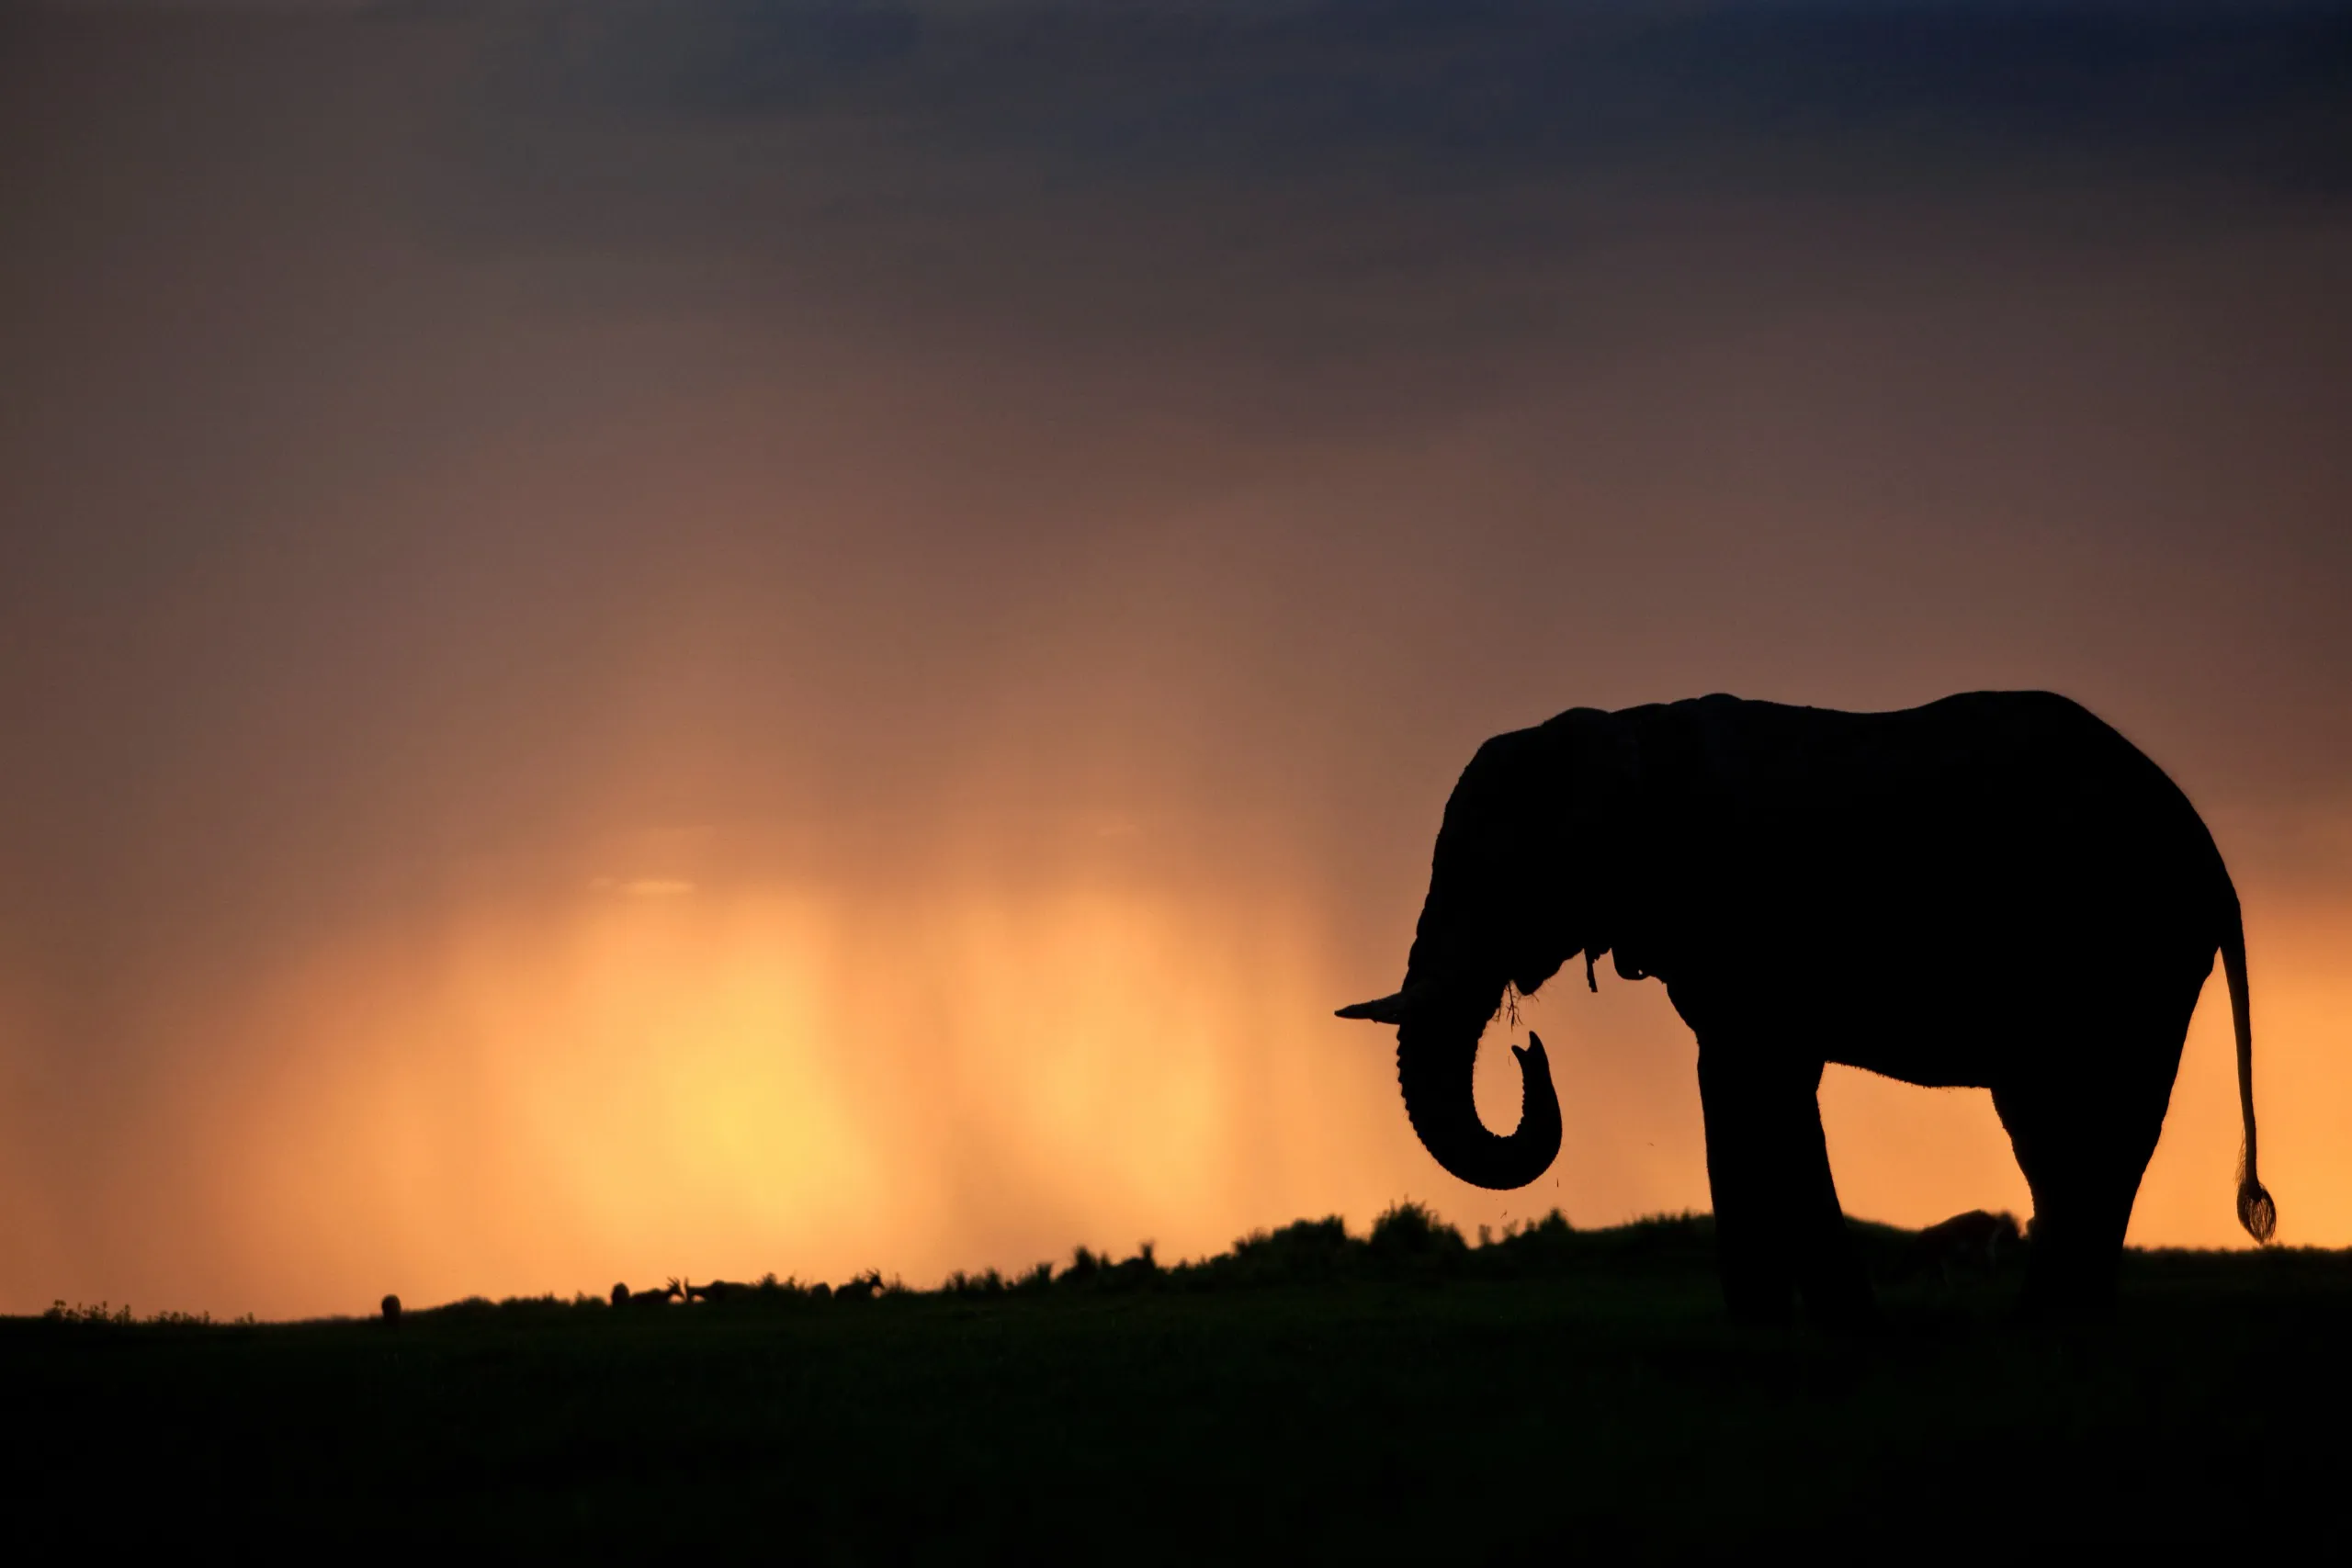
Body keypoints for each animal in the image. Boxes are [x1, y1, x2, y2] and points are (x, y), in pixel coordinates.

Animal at [1345, 691, 2277, 1316]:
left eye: (1491, 875)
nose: (1528, 1049)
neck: (1632, 726)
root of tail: (2214, 859)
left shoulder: (1752, 921)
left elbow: (1767, 1086)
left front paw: (1839, 1328)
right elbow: (1735, 1091)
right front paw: (1771, 1328)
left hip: (2128, 951)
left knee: (2091, 1124)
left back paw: (2047, 1322)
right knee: (2063, 1130)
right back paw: (2056, 1322)